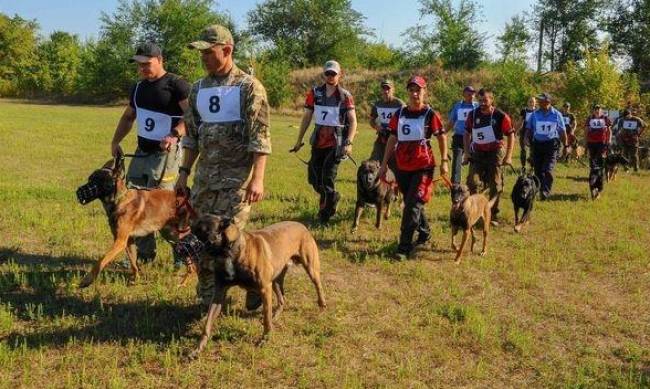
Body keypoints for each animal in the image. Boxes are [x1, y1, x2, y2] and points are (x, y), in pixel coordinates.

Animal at [75, 156, 194, 286]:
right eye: (90, 179)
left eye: (97, 180)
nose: (78, 192)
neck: (120, 200)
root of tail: (186, 199)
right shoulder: (128, 241)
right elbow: (133, 263)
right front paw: (135, 279)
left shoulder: (120, 242)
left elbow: (102, 260)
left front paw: (87, 280)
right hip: (171, 236)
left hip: (181, 237)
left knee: (193, 263)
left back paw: (184, 282)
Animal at [190, 214, 326, 356]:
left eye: (201, 229)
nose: (189, 227)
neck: (229, 250)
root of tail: (301, 225)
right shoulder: (218, 294)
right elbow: (207, 324)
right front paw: (198, 348)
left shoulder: (264, 288)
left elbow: (266, 318)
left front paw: (265, 339)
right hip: (275, 280)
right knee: (282, 299)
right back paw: (275, 316)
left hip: (310, 268)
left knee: (318, 286)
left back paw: (322, 305)